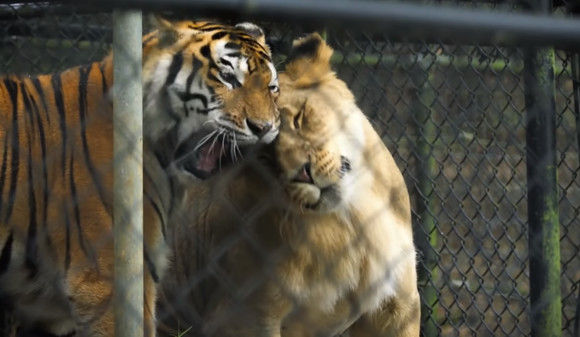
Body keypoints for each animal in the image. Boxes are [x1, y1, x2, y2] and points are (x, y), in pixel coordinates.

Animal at [157, 31, 422, 336]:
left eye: (298, 118)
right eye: (264, 157)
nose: (303, 174)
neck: (352, 223)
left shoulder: (399, 306)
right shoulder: (243, 316)